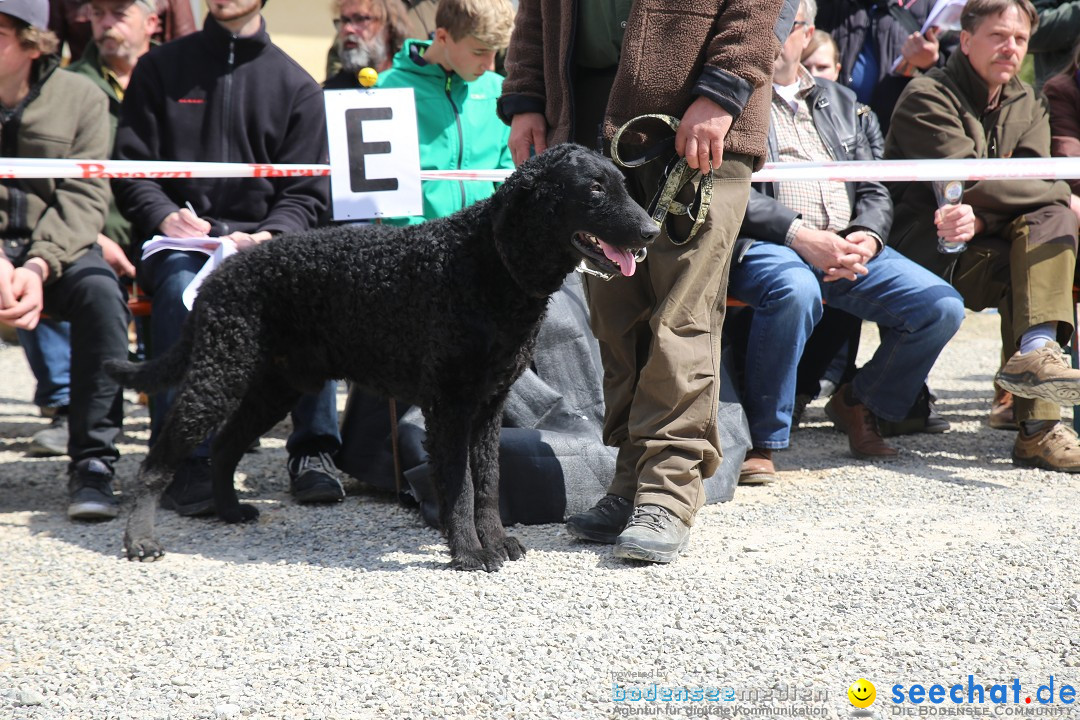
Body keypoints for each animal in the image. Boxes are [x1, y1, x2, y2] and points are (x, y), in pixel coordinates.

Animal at [105, 144, 656, 574]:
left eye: (623, 184)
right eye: (594, 190)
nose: (652, 230)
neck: (488, 262)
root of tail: (221, 272)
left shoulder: (488, 407)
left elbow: (488, 483)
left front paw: (497, 540)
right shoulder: (449, 408)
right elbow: (458, 488)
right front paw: (469, 553)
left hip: (276, 386)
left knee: (225, 447)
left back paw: (230, 511)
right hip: (217, 378)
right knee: (157, 463)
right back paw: (141, 540)